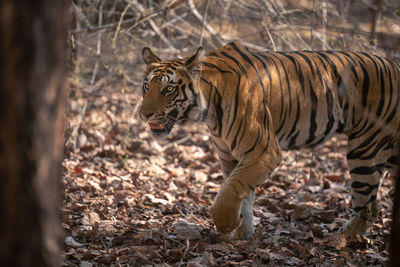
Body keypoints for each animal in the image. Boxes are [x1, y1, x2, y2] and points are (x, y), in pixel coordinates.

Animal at [138, 41, 400, 241]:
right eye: (146, 86)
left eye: (169, 89)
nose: (144, 114)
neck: (209, 109)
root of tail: (394, 65)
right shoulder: (232, 158)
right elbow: (241, 192)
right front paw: (243, 233)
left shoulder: (263, 151)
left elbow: (231, 191)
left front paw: (225, 224)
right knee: (373, 204)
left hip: (364, 148)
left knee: (368, 206)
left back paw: (341, 238)